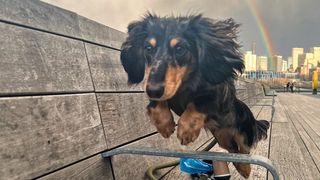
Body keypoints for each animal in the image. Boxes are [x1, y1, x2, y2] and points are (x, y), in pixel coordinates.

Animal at [120, 13, 270, 178]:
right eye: (148, 48)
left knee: (244, 150)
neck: (185, 83)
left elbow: (198, 103)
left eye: (180, 48)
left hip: (243, 132)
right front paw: (164, 125)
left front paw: (186, 130)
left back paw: (245, 168)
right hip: (222, 137)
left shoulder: (216, 96)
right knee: (233, 150)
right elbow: (156, 104)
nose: (153, 90)